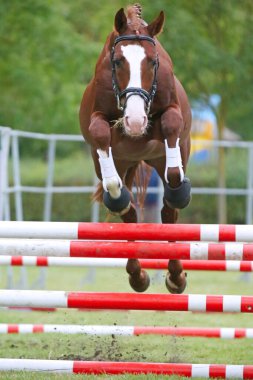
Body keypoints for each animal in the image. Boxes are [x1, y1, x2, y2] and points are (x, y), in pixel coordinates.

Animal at [80, 3, 191, 294]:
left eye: (152, 62)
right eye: (118, 62)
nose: (136, 121)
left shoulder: (171, 114)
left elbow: (171, 125)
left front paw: (178, 189)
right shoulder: (99, 120)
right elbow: (99, 133)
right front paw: (115, 191)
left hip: (163, 157)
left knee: (169, 210)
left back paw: (176, 276)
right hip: (121, 164)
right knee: (128, 211)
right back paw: (137, 275)